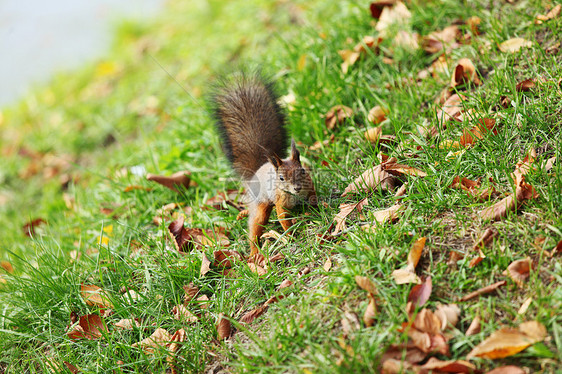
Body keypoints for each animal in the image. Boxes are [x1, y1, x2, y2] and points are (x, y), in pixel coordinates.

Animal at [210, 71, 316, 256]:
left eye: (303, 171)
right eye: (281, 178)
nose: (297, 188)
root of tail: (254, 173)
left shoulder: (309, 186)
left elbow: (314, 197)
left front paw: (319, 207)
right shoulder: (280, 202)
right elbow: (283, 218)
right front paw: (291, 235)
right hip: (260, 205)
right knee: (255, 225)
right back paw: (254, 252)